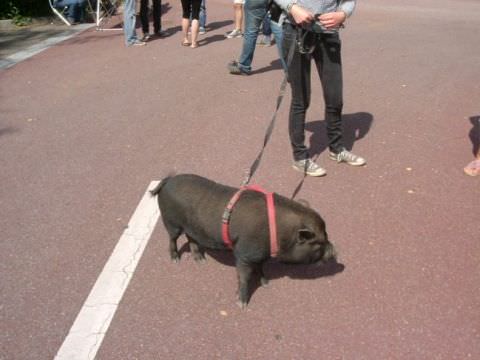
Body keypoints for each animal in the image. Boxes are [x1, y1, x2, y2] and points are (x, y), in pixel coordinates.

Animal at [152, 174, 336, 306]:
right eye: (319, 242)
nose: (334, 252)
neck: (277, 232)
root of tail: (167, 180)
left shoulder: (259, 255)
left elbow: (260, 268)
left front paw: (266, 284)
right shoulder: (244, 254)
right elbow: (244, 276)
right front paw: (242, 304)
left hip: (192, 227)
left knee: (191, 238)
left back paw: (201, 261)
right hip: (171, 222)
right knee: (172, 239)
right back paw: (175, 259)